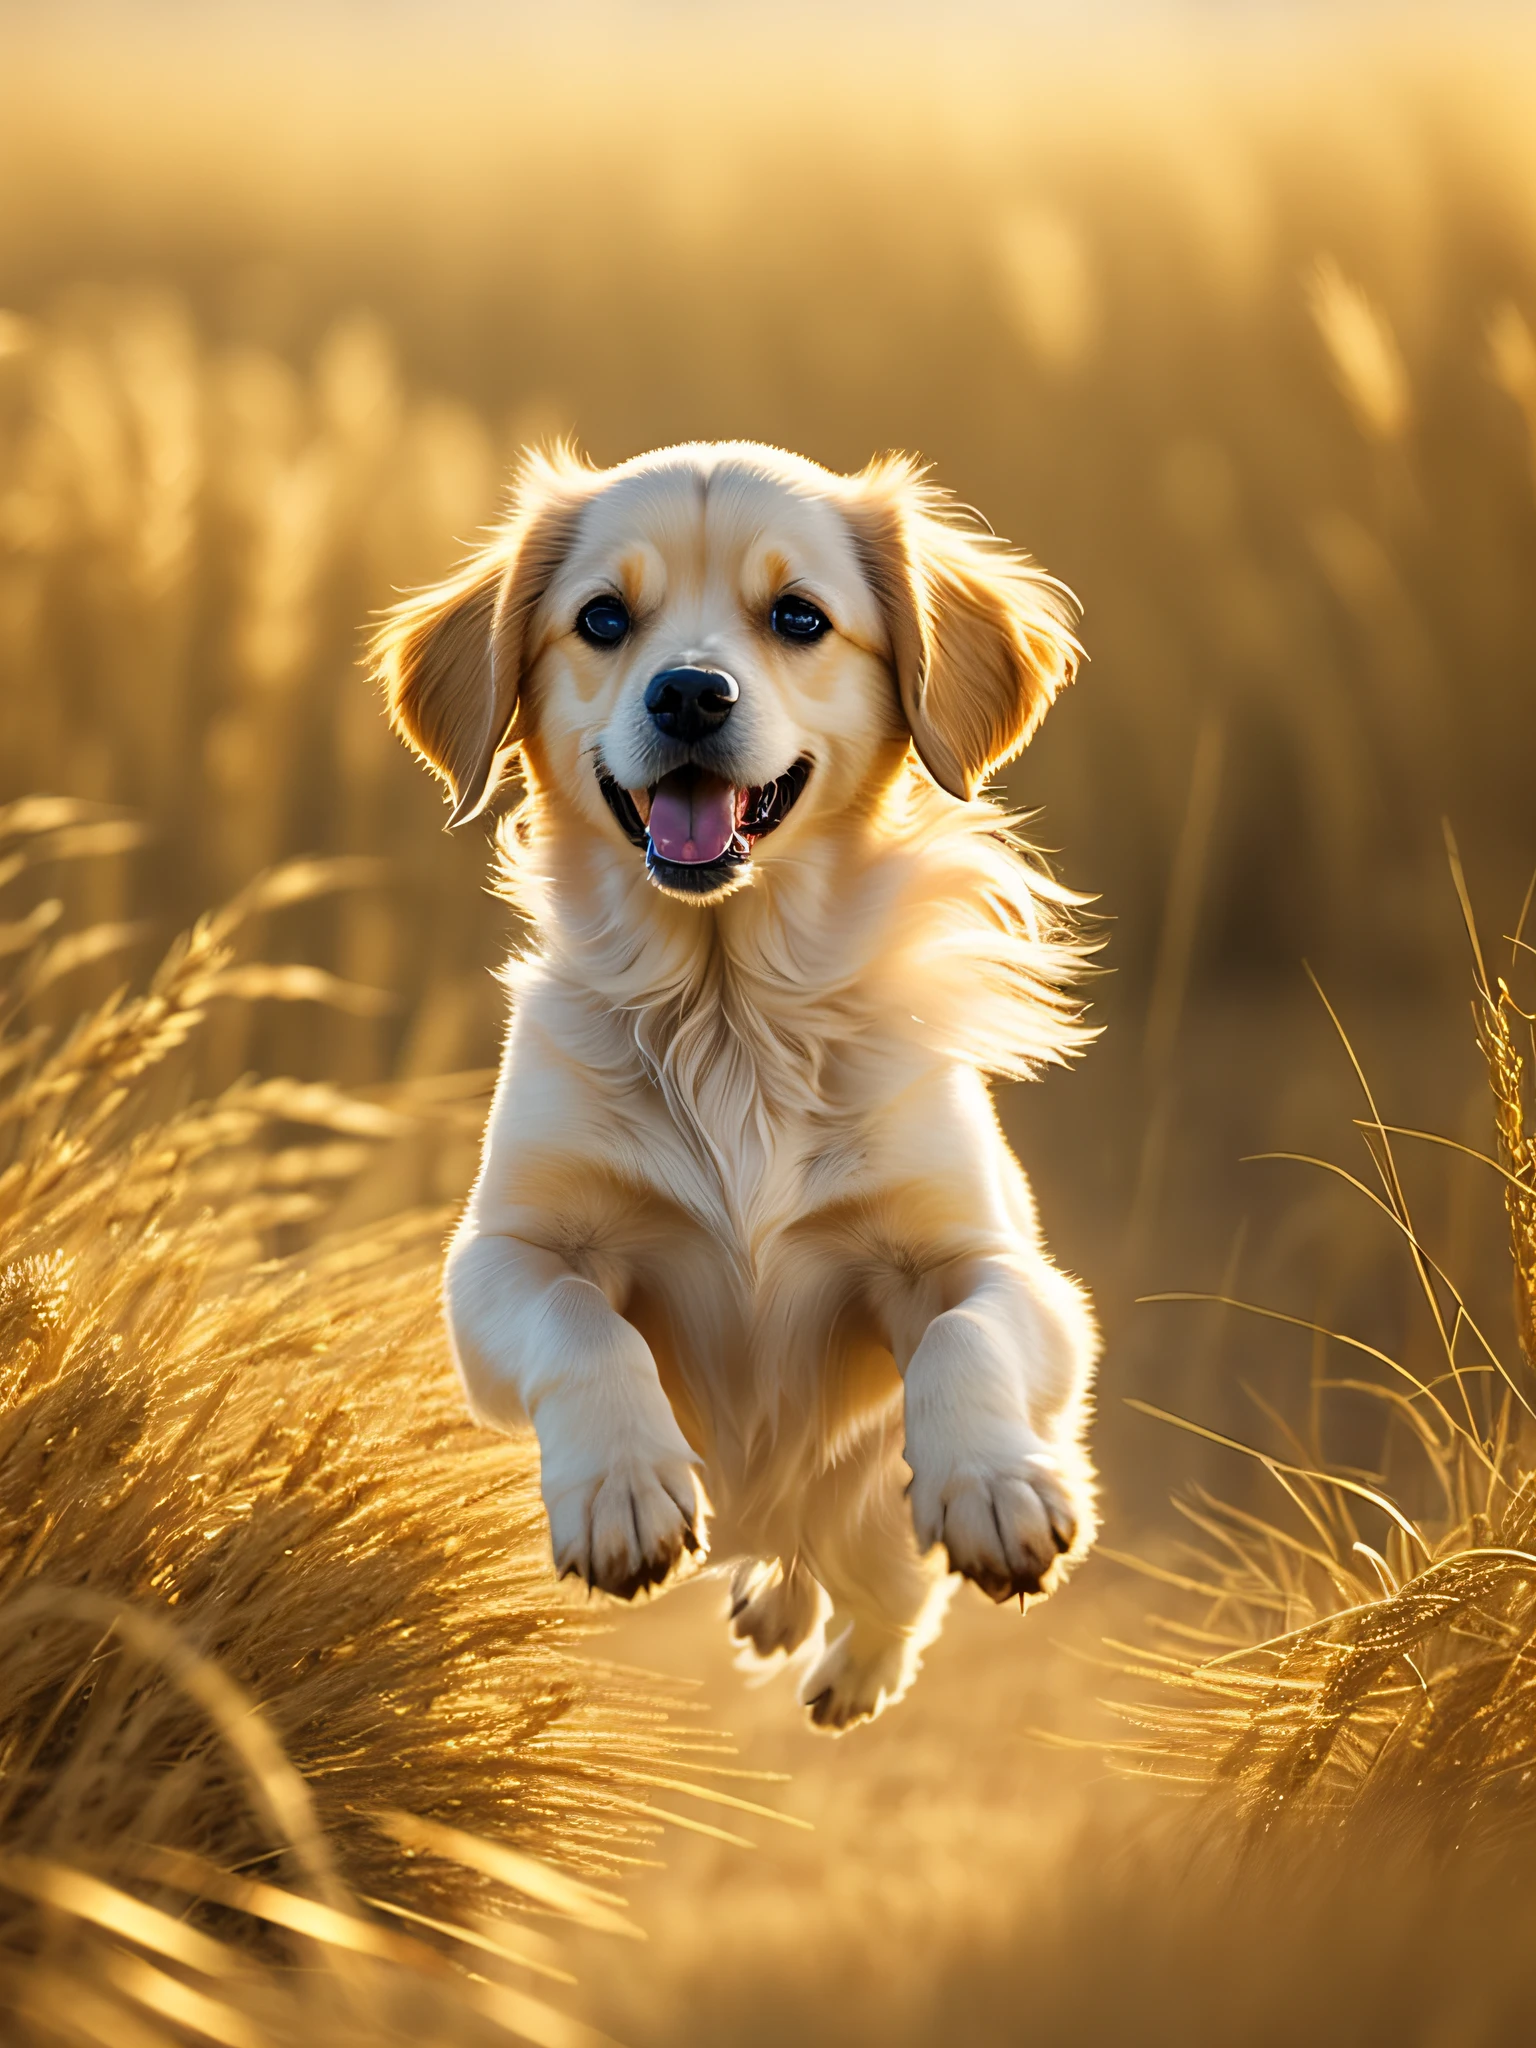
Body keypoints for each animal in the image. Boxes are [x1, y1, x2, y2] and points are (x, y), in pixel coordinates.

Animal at [374, 444, 1097, 1728]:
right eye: (602, 618)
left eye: (799, 615)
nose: (690, 694)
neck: (729, 1016)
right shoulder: (501, 1256)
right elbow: (583, 1324)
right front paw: (621, 1487)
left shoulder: (1008, 1266)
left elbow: (967, 1333)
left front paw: (996, 1483)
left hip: (869, 1516)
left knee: (883, 1580)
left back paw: (849, 1663)